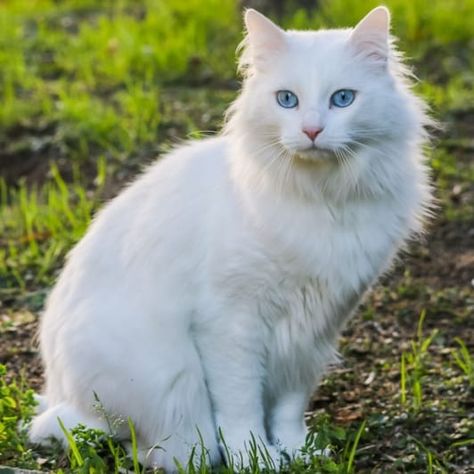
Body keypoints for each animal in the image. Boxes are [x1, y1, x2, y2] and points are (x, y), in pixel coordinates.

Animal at [27, 6, 432, 470]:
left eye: (342, 99)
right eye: (287, 100)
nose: (312, 131)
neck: (323, 200)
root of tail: (61, 393)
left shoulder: (315, 328)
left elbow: (289, 407)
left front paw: (298, 451)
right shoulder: (232, 324)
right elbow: (241, 408)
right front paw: (254, 457)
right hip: (167, 384)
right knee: (145, 446)